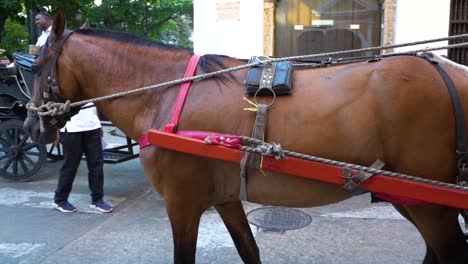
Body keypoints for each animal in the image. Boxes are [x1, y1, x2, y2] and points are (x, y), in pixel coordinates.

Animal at [24, 12, 468, 264]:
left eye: (39, 64)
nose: (29, 125)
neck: (164, 95)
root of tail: (452, 73)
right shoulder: (225, 197)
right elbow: (249, 250)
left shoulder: (182, 203)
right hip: (410, 196)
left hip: (430, 204)